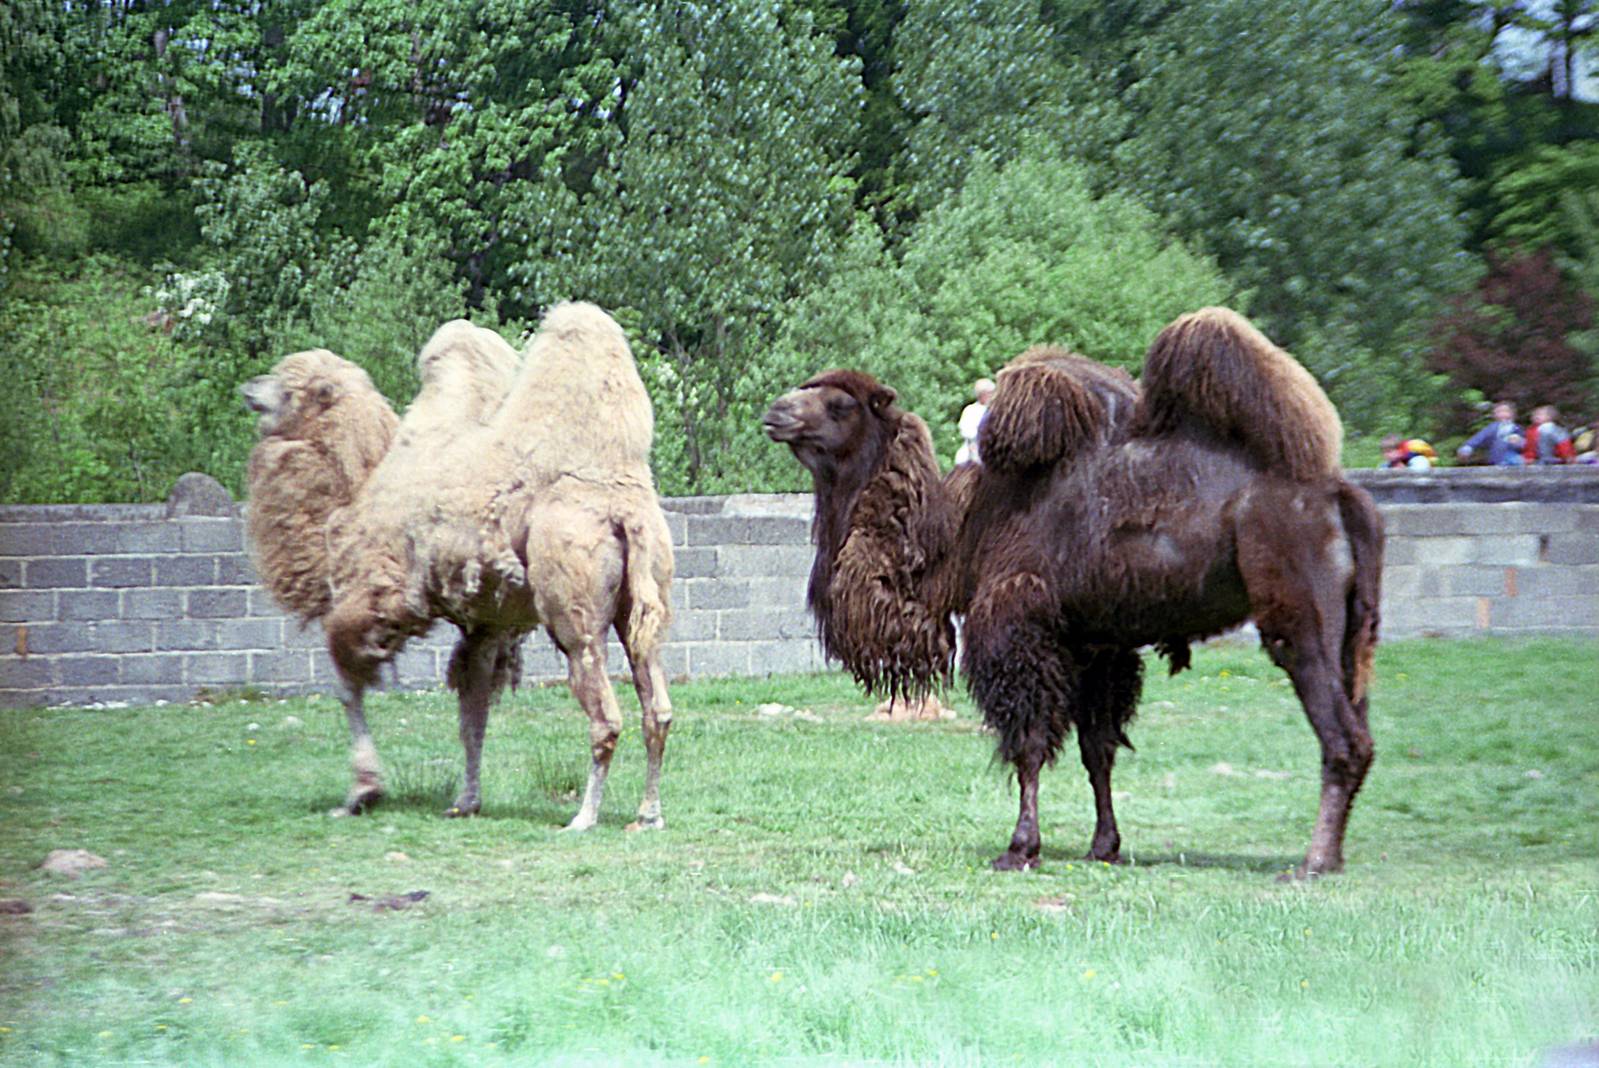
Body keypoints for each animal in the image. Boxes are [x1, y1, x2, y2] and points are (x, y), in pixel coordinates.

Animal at [242, 304, 675, 831]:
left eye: (288, 387)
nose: (249, 387)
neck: (352, 494)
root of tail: (622, 512)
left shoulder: (373, 600)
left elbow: (347, 687)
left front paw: (363, 791)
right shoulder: (486, 624)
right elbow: (473, 713)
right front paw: (465, 801)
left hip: (574, 608)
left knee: (605, 713)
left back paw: (584, 817)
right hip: (644, 601)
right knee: (657, 707)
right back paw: (648, 813)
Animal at [764, 308, 1383, 877]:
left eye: (840, 405)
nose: (775, 412)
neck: (957, 539)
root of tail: (1341, 497)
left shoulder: (1016, 622)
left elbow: (1029, 742)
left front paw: (1019, 849)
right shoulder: (1095, 643)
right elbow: (1097, 748)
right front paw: (1103, 846)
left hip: (1301, 618)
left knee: (1341, 737)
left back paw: (1312, 863)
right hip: (1353, 634)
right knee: (1361, 728)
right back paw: (1332, 854)